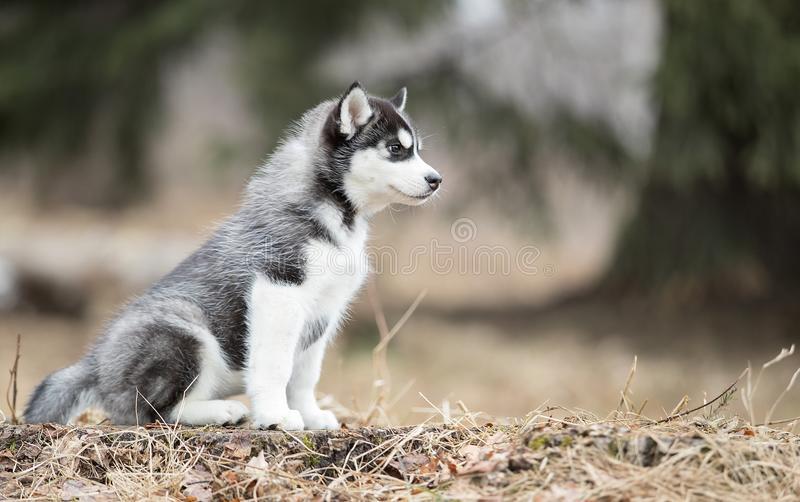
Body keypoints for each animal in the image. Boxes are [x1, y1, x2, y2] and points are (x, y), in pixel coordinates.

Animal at [23, 83, 444, 432]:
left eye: (417, 149)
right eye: (395, 149)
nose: (436, 180)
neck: (336, 215)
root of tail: (93, 364)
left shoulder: (323, 312)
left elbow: (304, 374)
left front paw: (308, 415)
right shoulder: (277, 289)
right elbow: (276, 364)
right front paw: (275, 416)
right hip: (184, 332)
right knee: (149, 413)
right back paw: (219, 411)